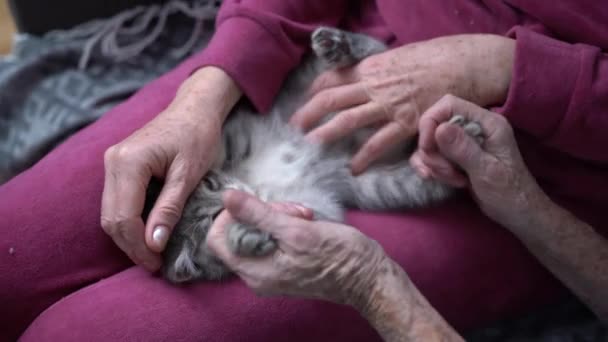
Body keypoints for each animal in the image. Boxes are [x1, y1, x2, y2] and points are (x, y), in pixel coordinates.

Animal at [154, 26, 486, 284]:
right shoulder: (312, 206)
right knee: (436, 178)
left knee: (376, 56)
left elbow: (221, 142)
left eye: (210, 183)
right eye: (214, 216)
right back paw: (457, 141)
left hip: (327, 81)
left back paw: (338, 45)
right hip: (383, 185)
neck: (258, 186)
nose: (235, 191)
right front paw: (245, 235)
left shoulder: (237, 130)